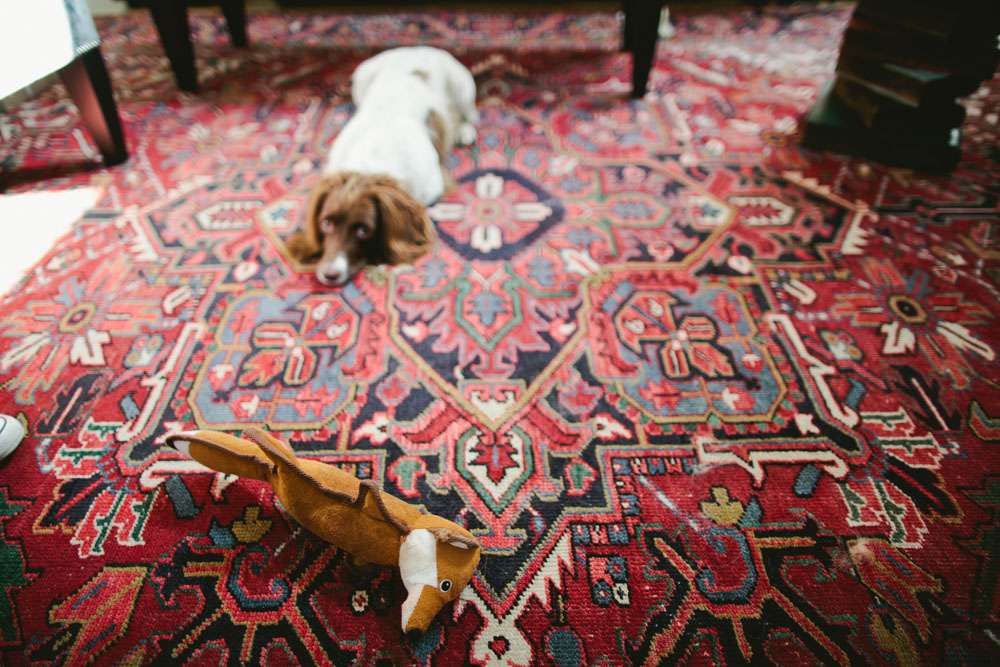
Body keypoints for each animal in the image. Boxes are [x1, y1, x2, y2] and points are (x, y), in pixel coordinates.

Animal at [287, 47, 479, 287]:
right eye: (326, 223)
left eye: (363, 230)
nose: (330, 275)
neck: (368, 164)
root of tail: (415, 49)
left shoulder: (432, 187)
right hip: (360, 77)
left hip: (464, 86)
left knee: (469, 114)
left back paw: (464, 130)